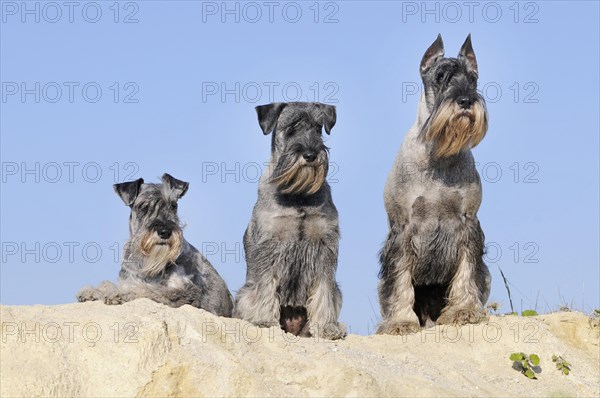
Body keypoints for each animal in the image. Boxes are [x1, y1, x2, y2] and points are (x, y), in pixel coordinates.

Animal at [75, 173, 234, 316]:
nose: (165, 232)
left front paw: (120, 293)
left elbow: (148, 289)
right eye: (143, 206)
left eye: (173, 205)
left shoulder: (184, 291)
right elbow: (111, 283)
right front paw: (93, 290)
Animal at [234, 102, 346, 338]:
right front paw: (265, 320)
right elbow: (266, 285)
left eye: (318, 128)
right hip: (244, 294)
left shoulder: (324, 246)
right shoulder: (269, 245)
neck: (298, 194)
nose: (310, 154)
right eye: (291, 128)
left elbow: (323, 291)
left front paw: (326, 327)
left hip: (338, 292)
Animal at [378, 34, 490, 334]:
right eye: (441, 76)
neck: (440, 156)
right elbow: (400, 279)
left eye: (472, 79)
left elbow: (466, 270)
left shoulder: (468, 221)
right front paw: (401, 322)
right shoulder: (403, 228)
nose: (465, 101)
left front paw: (463, 310)